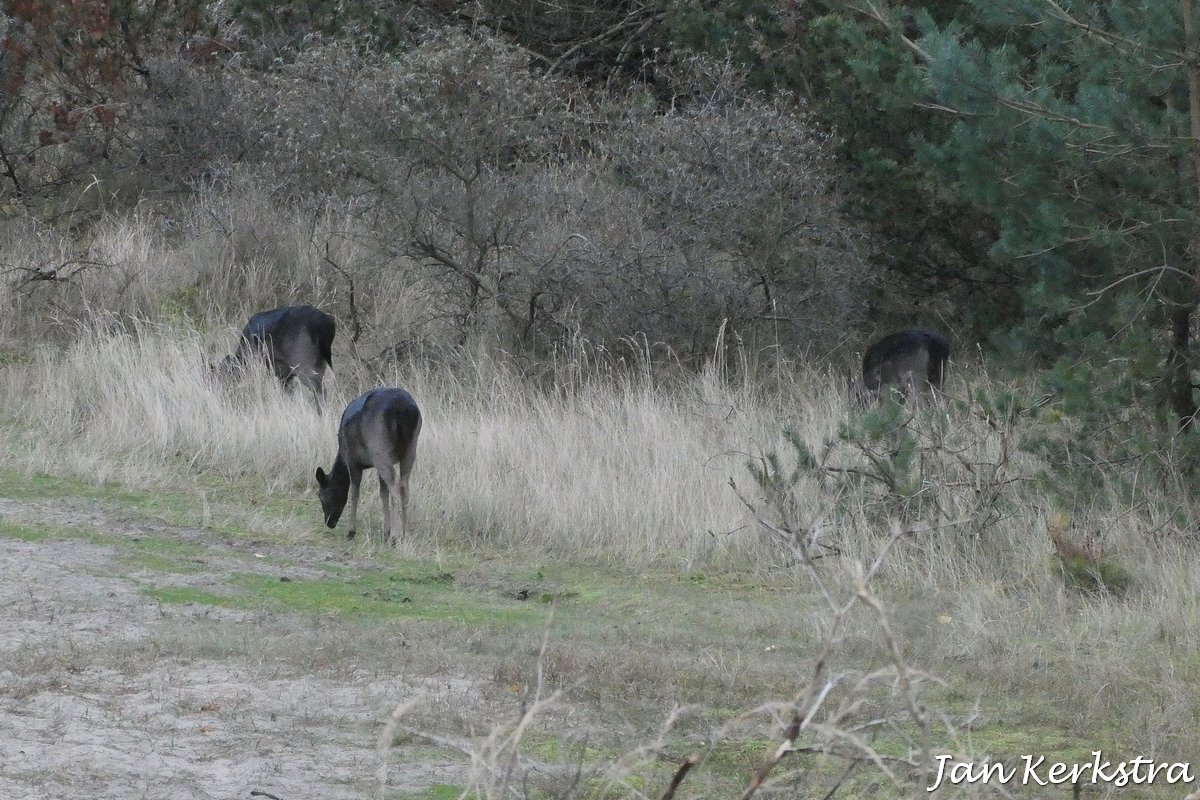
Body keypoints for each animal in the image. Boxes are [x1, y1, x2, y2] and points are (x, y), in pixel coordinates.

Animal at [315, 388, 422, 546]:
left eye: (321, 495)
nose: (329, 522)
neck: (342, 454)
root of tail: (404, 410)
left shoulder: (353, 460)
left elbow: (354, 492)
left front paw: (351, 532)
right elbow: (382, 493)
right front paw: (386, 530)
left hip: (379, 447)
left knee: (395, 486)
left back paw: (395, 537)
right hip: (410, 449)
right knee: (404, 485)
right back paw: (404, 534)